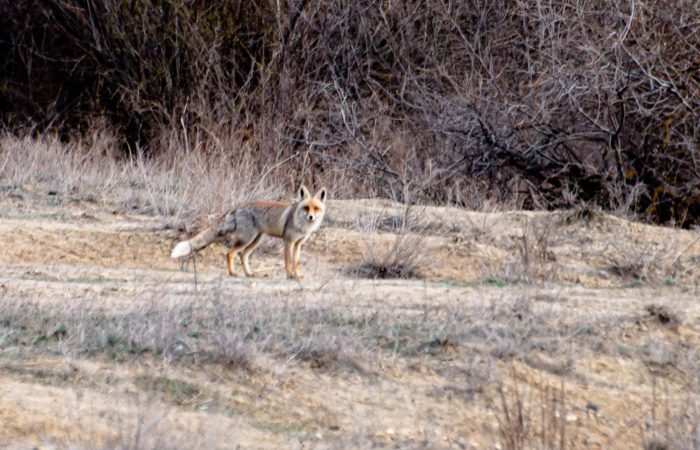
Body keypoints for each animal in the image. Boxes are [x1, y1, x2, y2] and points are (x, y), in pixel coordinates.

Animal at [170, 185, 327, 280]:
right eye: (306, 207)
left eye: (316, 208)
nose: (311, 217)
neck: (302, 225)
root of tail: (239, 207)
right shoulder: (288, 241)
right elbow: (288, 262)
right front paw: (289, 276)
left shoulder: (298, 244)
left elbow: (296, 262)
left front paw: (298, 275)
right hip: (248, 239)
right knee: (230, 253)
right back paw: (232, 273)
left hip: (256, 240)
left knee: (243, 255)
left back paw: (248, 273)